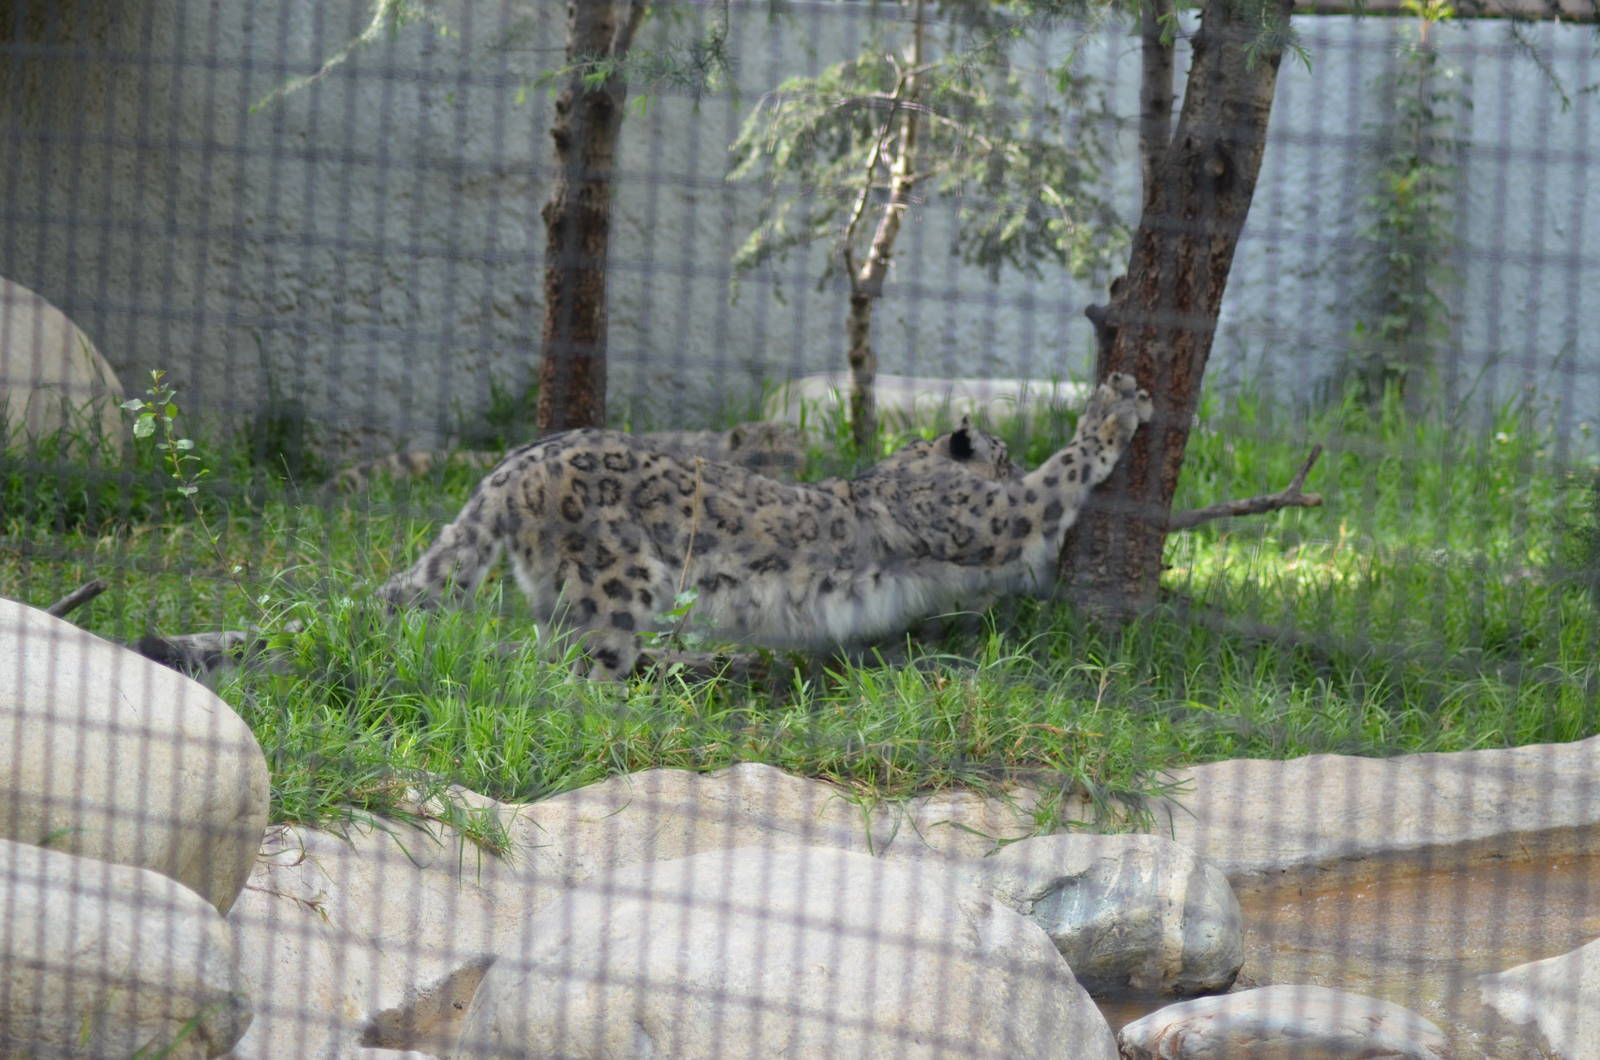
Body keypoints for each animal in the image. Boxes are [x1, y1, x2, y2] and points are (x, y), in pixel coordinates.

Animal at [377, 373, 1154, 679]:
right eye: (1005, 451)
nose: (1008, 455)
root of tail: (515, 465)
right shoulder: (986, 520)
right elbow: (1051, 484)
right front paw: (1117, 405)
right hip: (616, 585)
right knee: (584, 667)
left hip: (558, 591)